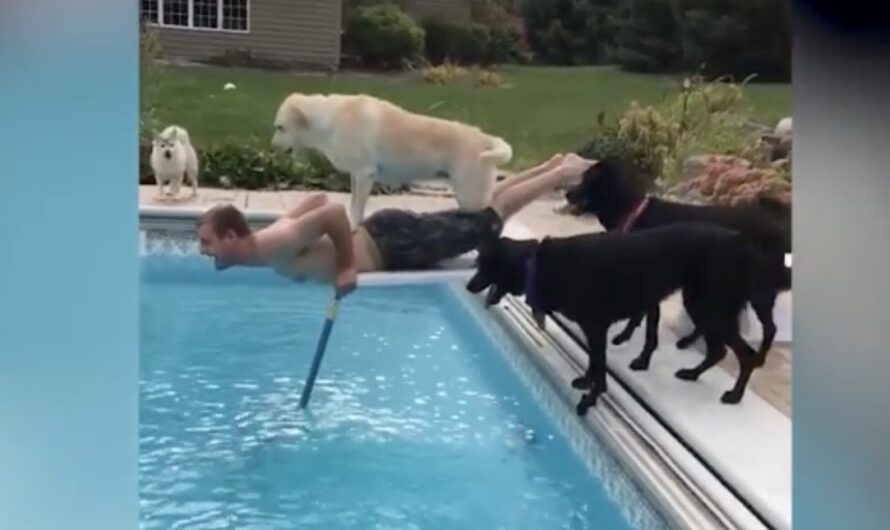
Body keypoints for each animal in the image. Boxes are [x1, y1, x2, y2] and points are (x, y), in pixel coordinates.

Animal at [268, 92, 510, 223]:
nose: (271, 147)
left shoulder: (365, 174)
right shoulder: (356, 177)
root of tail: (485, 138)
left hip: (471, 196)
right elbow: (353, 205)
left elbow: (357, 210)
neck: (330, 120)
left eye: (280, 128)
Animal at [464, 223, 764, 412]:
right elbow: (594, 362)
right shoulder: (593, 330)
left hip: (707, 307)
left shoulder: (596, 328)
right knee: (718, 351)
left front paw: (590, 400)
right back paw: (692, 374)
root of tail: (740, 243)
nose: (468, 286)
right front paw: (586, 382)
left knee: (746, 355)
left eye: (484, 267)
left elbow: (600, 368)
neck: (537, 264)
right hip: (702, 306)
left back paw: (734, 395)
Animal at [564, 161, 788, 358]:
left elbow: (640, 318)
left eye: (587, 179)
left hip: (755, 291)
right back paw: (688, 342)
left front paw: (627, 339)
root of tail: (776, 223)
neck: (633, 213)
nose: (567, 193)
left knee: (770, 328)